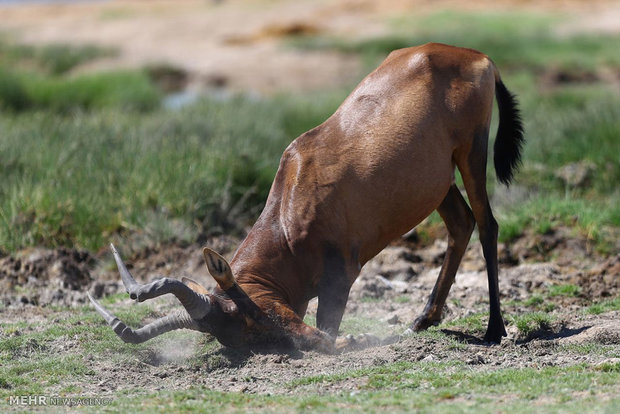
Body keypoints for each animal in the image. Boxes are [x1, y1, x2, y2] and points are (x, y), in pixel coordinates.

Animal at [88, 42, 524, 352]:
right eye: (246, 336)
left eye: (255, 317)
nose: (337, 345)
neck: (288, 206)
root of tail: (478, 57)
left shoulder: (342, 273)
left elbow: (325, 321)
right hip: (436, 183)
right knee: (461, 224)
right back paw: (424, 319)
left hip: (471, 154)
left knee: (487, 225)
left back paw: (494, 329)